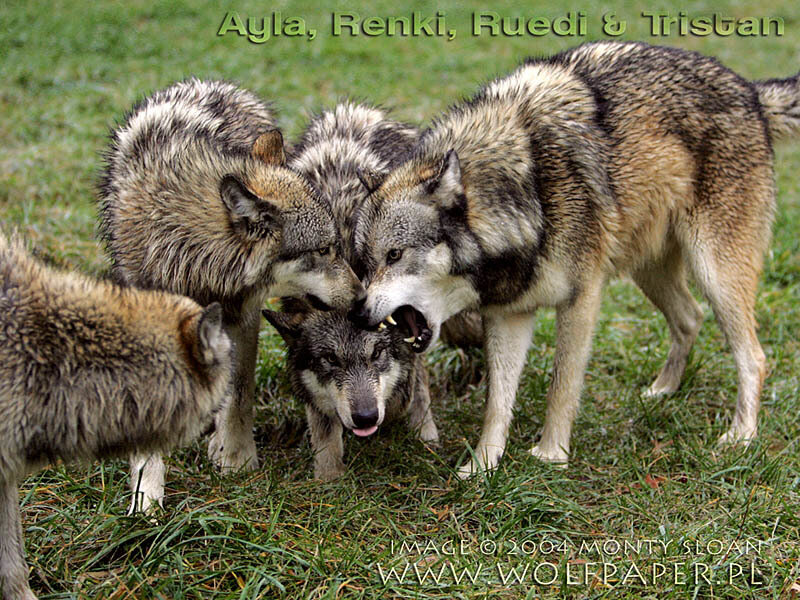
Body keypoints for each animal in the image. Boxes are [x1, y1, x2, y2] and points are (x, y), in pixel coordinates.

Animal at [97, 79, 363, 510]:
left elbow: (239, 394)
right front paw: (146, 495)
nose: (362, 297)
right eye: (324, 250)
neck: (190, 255)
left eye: (339, 247)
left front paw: (237, 460)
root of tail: (208, 83)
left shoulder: (244, 317)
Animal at [262, 102, 439, 480]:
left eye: (376, 354)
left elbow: (411, 387)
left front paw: (421, 433)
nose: (366, 417)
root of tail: (354, 109)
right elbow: (323, 426)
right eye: (330, 359)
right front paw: (329, 478)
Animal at [350, 41, 800, 478]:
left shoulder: (581, 300)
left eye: (395, 255)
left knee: (754, 357)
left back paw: (741, 436)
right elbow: (497, 402)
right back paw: (662, 391)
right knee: (690, 317)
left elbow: (561, 385)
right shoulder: (509, 314)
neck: (530, 191)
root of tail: (749, 91)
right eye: (364, 264)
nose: (358, 312)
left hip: (715, 273)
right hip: (650, 272)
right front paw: (481, 468)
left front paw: (551, 455)